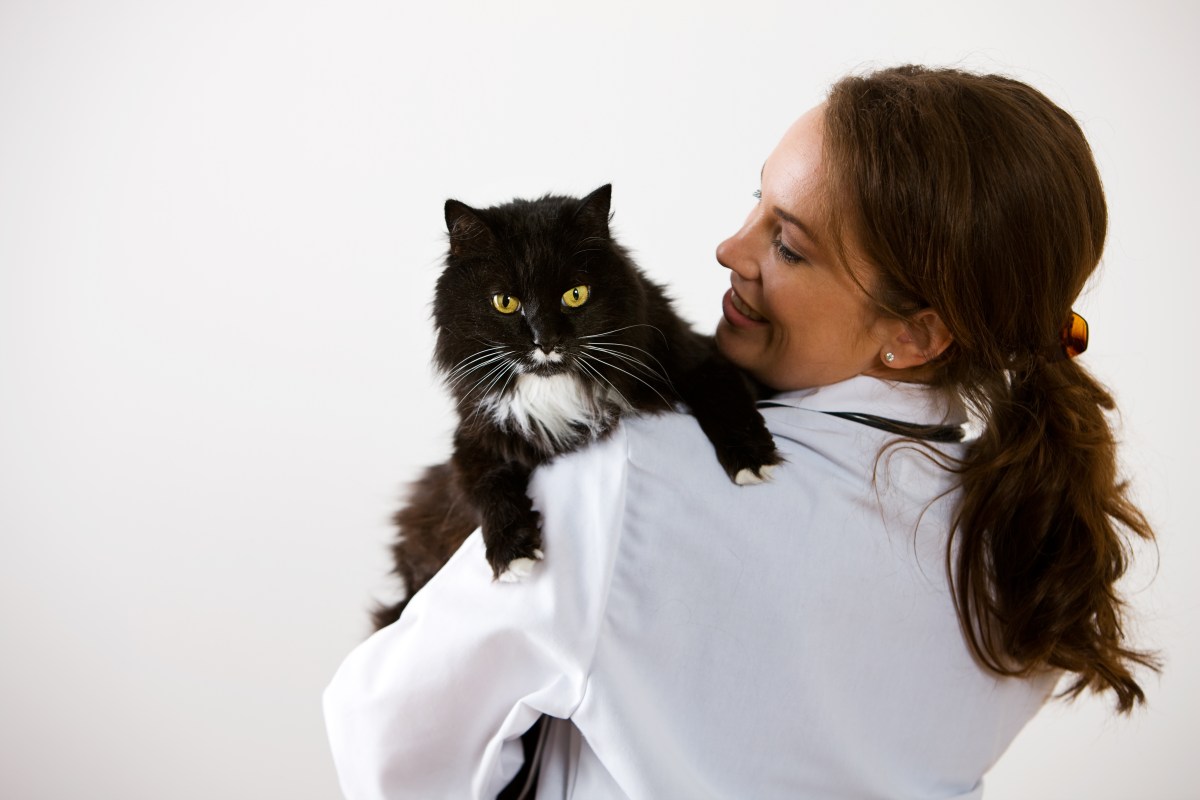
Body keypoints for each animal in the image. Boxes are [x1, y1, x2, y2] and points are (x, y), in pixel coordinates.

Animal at [369, 184, 777, 628]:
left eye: (575, 295)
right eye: (505, 302)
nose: (544, 340)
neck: (554, 390)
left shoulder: (697, 357)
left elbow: (722, 395)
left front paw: (752, 459)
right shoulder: (475, 434)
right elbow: (484, 484)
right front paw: (512, 553)